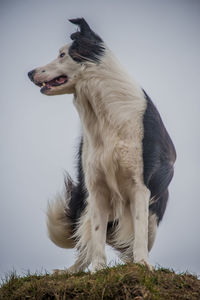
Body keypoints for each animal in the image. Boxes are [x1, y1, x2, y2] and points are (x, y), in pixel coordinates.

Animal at [27, 17, 175, 274]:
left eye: (62, 54)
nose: (29, 73)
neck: (103, 114)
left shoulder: (140, 186)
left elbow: (138, 232)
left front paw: (142, 263)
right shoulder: (95, 187)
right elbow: (96, 235)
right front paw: (98, 269)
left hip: (156, 209)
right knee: (84, 241)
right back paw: (71, 270)